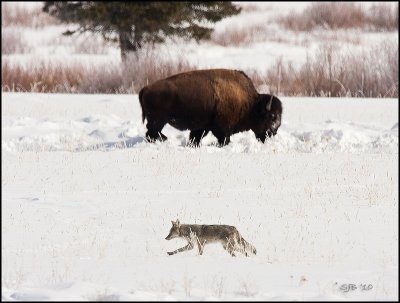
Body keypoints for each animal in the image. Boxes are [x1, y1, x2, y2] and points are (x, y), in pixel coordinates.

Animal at [139, 68, 282, 147]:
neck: (251, 103)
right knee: (151, 133)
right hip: (158, 121)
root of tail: (146, 88)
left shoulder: (202, 127)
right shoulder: (221, 128)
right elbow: (224, 139)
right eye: (271, 116)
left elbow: (195, 138)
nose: (273, 132)